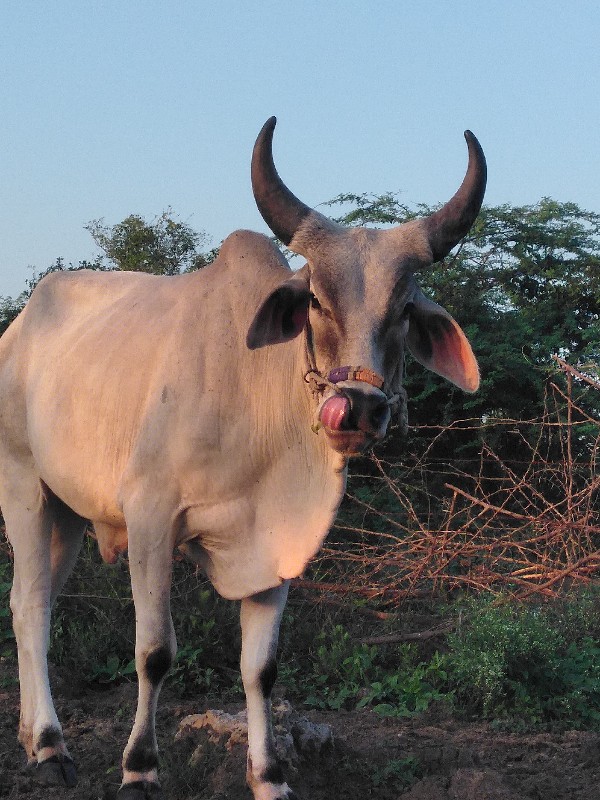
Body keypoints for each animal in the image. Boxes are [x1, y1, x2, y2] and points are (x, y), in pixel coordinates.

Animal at [0, 119, 486, 800]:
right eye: (316, 301)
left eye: (404, 310)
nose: (357, 409)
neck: (255, 399)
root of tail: (19, 327)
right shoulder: (150, 517)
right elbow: (155, 651)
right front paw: (140, 767)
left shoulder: (277, 543)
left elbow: (261, 668)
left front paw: (270, 775)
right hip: (23, 486)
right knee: (32, 605)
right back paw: (48, 745)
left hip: (66, 514)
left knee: (30, 602)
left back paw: (31, 736)